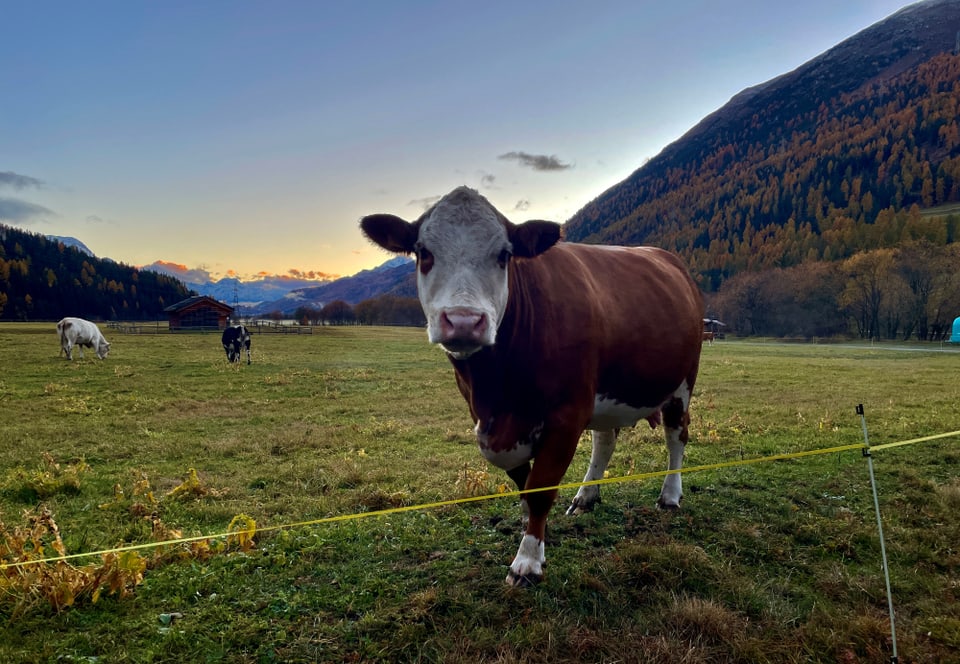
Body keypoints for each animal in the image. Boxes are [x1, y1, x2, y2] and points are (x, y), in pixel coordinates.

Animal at [360, 184, 704, 584]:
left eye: (504, 255)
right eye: (424, 252)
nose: (464, 321)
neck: (498, 390)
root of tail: (666, 257)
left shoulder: (567, 414)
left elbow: (540, 488)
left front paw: (527, 560)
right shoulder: (490, 421)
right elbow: (524, 482)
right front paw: (534, 529)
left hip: (682, 382)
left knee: (676, 435)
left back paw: (670, 496)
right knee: (605, 439)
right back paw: (585, 496)